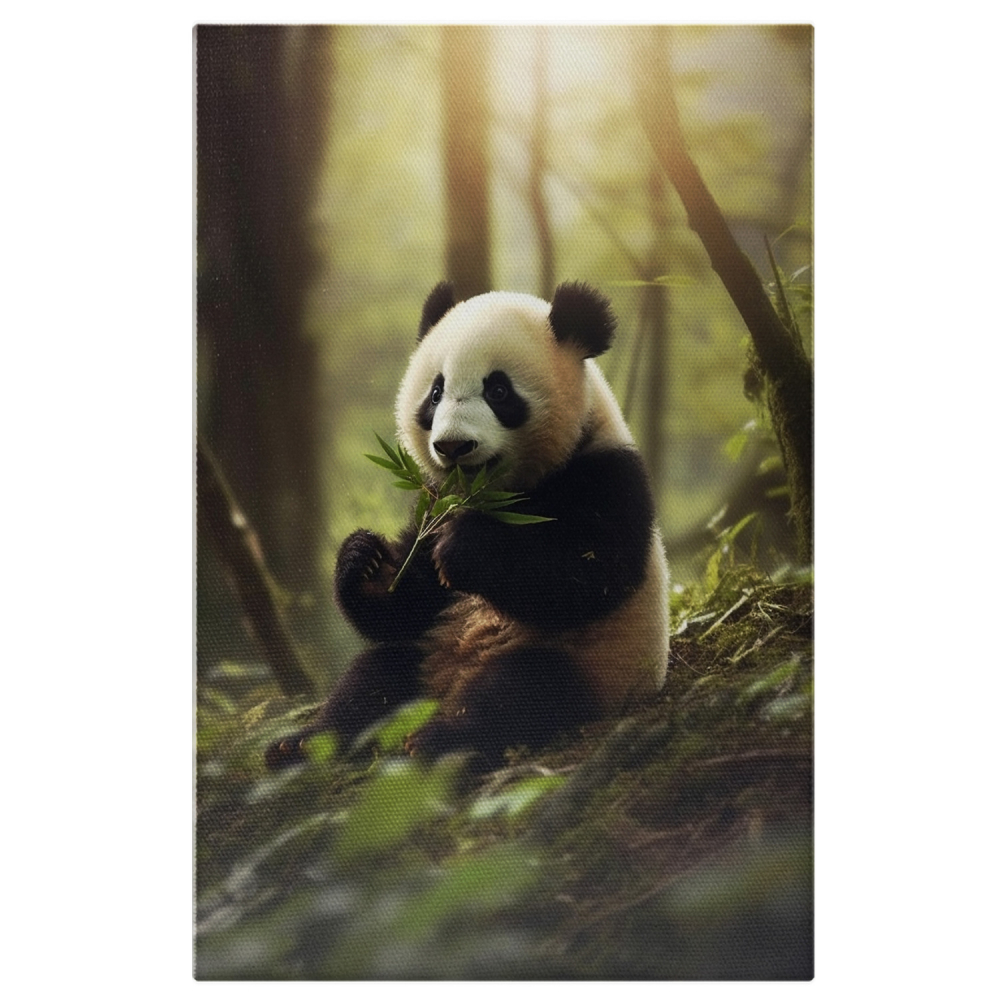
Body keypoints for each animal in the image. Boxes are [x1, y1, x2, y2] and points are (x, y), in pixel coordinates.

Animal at [266, 281, 670, 770]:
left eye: (498, 390)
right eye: (435, 393)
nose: (453, 446)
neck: (493, 495)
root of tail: (444, 687)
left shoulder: (604, 475)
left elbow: (587, 575)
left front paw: (469, 549)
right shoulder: (433, 501)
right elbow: (410, 598)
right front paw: (365, 561)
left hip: (591, 669)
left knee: (520, 692)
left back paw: (440, 739)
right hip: (427, 650)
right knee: (376, 675)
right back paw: (303, 744)